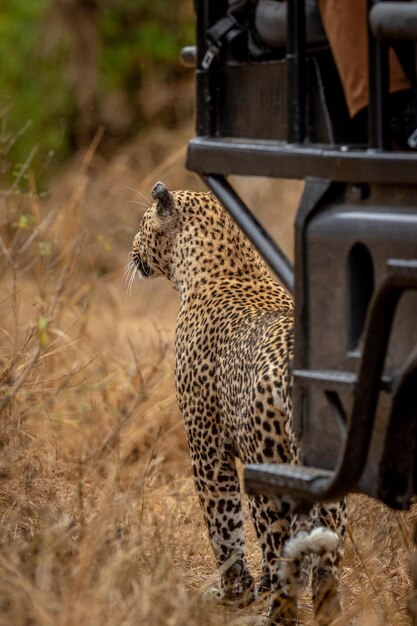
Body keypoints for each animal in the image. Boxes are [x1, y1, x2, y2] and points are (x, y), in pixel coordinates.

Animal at [129, 178, 344, 620]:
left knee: (285, 551)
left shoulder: (206, 445)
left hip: (273, 468)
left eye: (143, 223)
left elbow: (224, 525)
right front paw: (254, 588)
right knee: (326, 560)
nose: (131, 247)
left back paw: (274, 615)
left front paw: (234, 593)